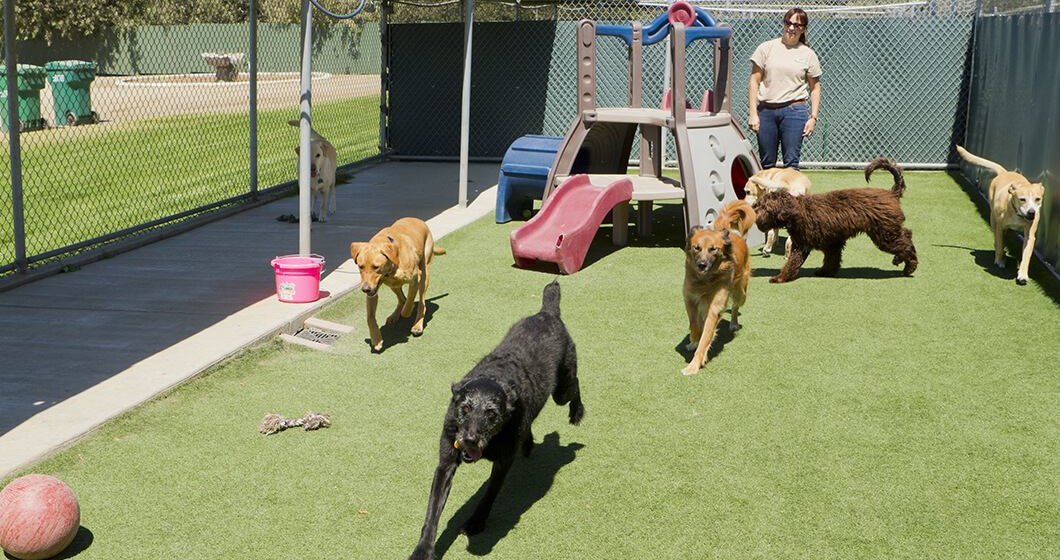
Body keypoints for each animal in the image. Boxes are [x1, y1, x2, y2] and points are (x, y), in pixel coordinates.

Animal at [349, 217, 445, 349]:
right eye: (360, 266)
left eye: (376, 267)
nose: (366, 289)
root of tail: (418, 220)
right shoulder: (373, 293)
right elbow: (370, 318)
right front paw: (376, 340)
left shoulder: (416, 279)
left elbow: (410, 301)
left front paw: (407, 311)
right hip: (393, 286)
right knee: (402, 299)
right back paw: (394, 315)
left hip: (424, 275)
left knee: (421, 303)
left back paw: (417, 325)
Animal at [754, 156, 920, 282]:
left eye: (765, 208)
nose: (756, 217)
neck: (797, 211)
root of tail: (892, 193)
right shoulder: (831, 243)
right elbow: (831, 260)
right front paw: (825, 272)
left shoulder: (802, 245)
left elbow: (792, 263)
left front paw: (779, 278)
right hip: (888, 230)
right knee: (906, 235)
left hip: (885, 233)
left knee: (906, 242)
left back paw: (908, 266)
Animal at [958, 145, 1047, 284]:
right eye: (1022, 199)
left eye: (1038, 199)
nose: (1031, 212)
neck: (1017, 213)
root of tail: (1004, 172)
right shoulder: (999, 226)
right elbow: (999, 243)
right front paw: (999, 260)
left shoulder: (1030, 235)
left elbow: (1026, 255)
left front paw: (1022, 274)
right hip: (993, 220)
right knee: (997, 238)